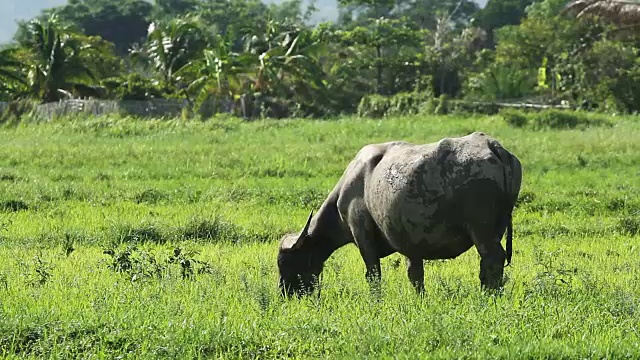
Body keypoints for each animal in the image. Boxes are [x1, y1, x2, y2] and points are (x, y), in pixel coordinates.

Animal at [278, 131, 524, 296]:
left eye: (285, 263)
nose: (284, 294)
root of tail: (492, 146)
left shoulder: (361, 233)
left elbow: (373, 275)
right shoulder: (410, 241)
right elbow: (415, 275)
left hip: (482, 229)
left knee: (492, 259)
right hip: (497, 227)